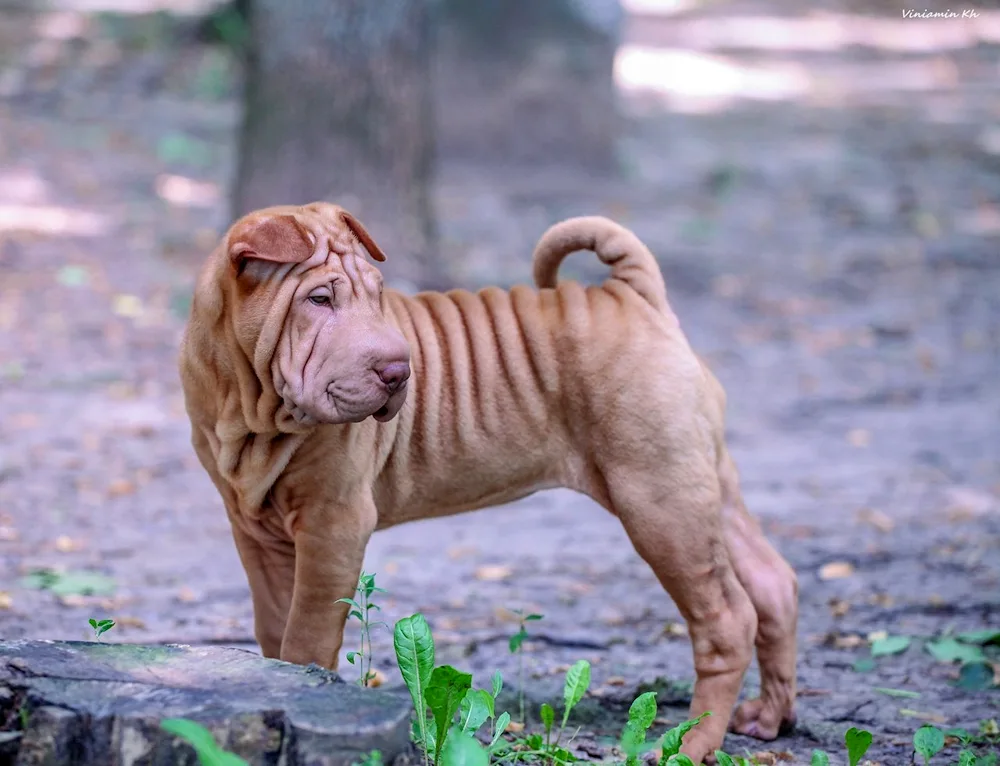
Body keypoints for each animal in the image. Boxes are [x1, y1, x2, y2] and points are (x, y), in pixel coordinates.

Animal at [180, 201, 800, 764]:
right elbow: (273, 626)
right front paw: (278, 679)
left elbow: (306, 633)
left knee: (726, 617)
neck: (253, 409)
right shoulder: (255, 531)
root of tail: (633, 295)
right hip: (702, 485)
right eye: (319, 300)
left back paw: (694, 743)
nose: (399, 371)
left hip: (658, 499)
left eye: (377, 294)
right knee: (772, 582)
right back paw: (769, 718)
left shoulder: (334, 523)